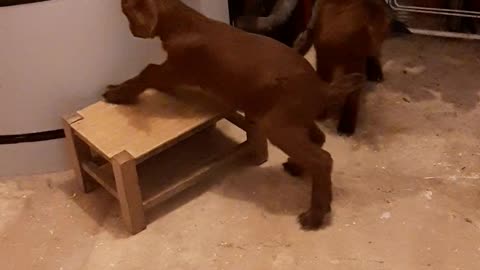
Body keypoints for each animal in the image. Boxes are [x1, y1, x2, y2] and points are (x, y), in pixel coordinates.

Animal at [103, 0, 362, 230]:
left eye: (126, 10)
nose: (132, 30)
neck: (185, 23)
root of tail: (323, 88)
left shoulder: (172, 70)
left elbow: (144, 74)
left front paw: (117, 92)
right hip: (292, 119)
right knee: (318, 140)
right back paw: (297, 167)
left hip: (277, 126)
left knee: (322, 159)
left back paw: (316, 214)